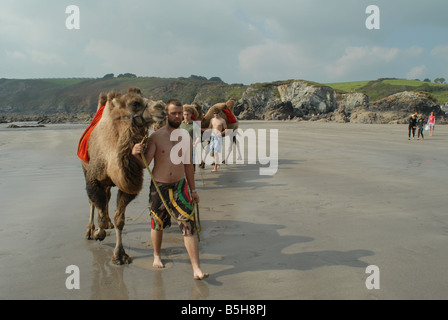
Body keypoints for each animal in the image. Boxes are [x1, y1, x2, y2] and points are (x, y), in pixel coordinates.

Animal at [81, 88, 166, 264]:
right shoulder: (93, 179)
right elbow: (97, 204)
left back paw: (107, 224)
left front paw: (119, 255)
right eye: (135, 103)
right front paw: (98, 233)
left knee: (107, 196)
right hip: (84, 168)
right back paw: (89, 230)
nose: (161, 106)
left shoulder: (127, 187)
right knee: (93, 202)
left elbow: (119, 219)